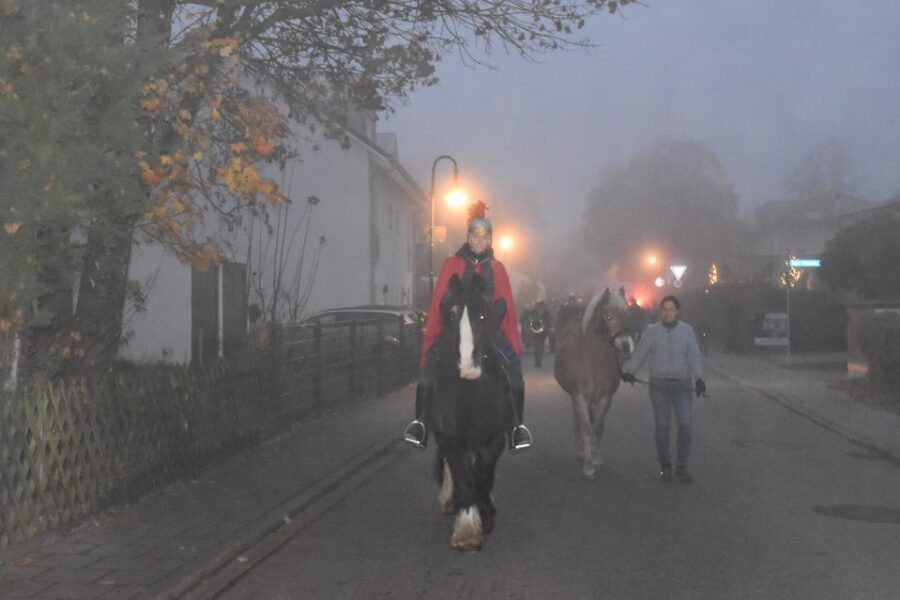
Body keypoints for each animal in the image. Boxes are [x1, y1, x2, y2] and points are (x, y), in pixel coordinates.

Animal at [430, 274, 510, 552]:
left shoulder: (494, 439)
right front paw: (467, 531)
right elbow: (463, 476)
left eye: (483, 315)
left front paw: (486, 515)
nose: (468, 367)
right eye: (451, 316)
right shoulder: (451, 439)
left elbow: (483, 473)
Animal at [552, 288, 628, 480]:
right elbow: (587, 429)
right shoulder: (580, 397)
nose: (626, 345)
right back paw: (581, 453)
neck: (593, 359)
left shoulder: (605, 398)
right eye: (608, 316)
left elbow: (598, 428)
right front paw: (588, 466)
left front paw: (597, 458)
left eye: (627, 314)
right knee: (579, 422)